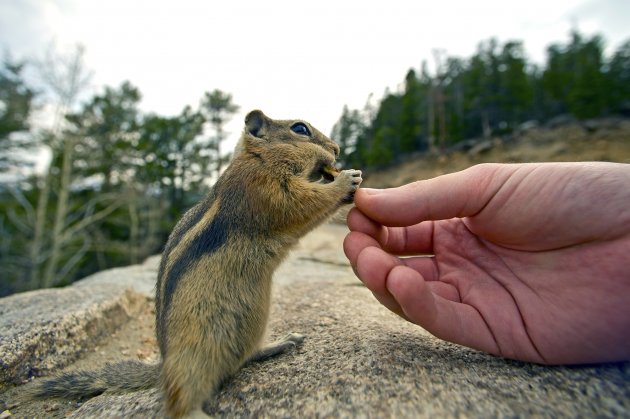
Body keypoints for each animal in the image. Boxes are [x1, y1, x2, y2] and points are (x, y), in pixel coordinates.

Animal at [28, 110, 366, 418]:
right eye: (300, 129)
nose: (336, 148)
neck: (256, 158)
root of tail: (163, 367)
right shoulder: (262, 189)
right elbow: (300, 203)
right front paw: (346, 180)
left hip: (251, 324)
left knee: (242, 357)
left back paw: (279, 343)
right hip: (196, 353)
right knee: (180, 400)